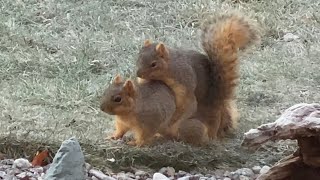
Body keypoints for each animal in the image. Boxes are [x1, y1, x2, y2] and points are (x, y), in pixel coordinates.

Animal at [135, 11, 260, 139]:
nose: (138, 74)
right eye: (138, 57)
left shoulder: (185, 81)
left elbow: (188, 103)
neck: (169, 69)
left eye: (153, 64)